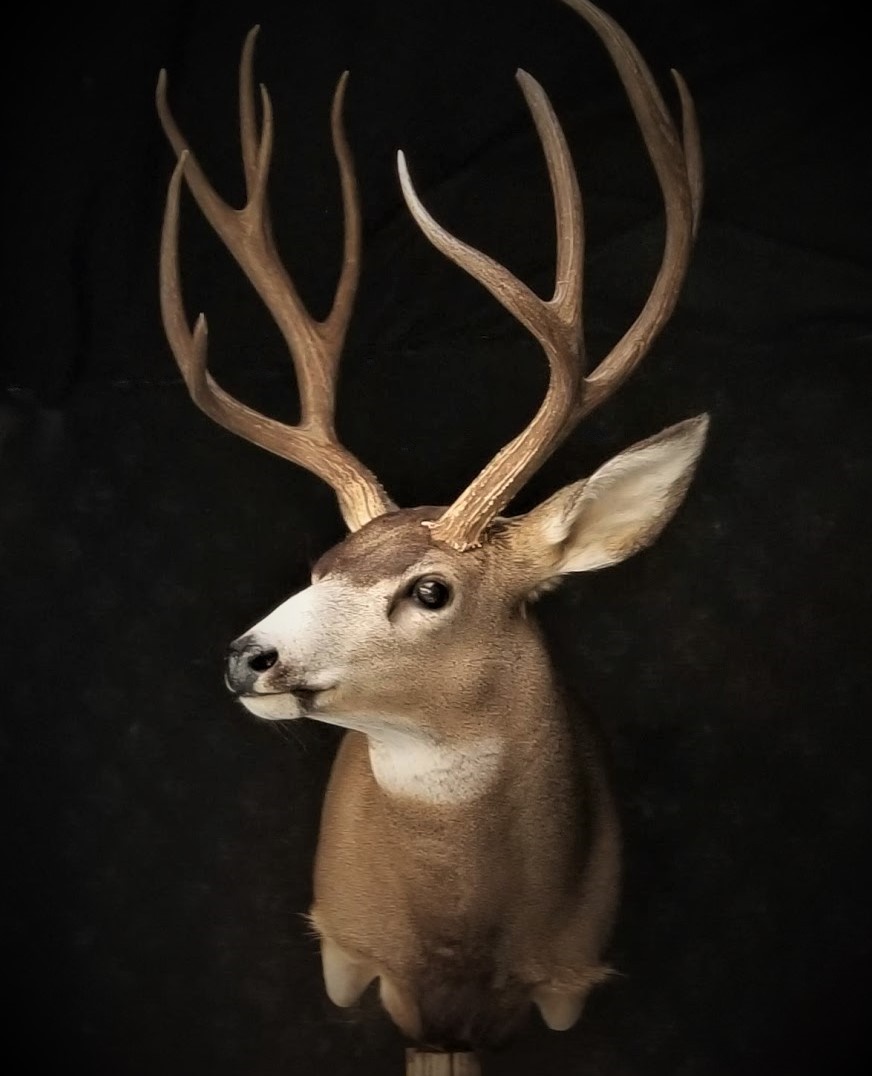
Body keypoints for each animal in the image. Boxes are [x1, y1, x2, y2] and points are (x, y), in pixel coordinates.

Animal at [156, 0, 705, 1070]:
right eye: (319, 564)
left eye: (430, 590)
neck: (458, 942)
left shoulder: (561, 980)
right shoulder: (364, 964)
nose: (248, 656)